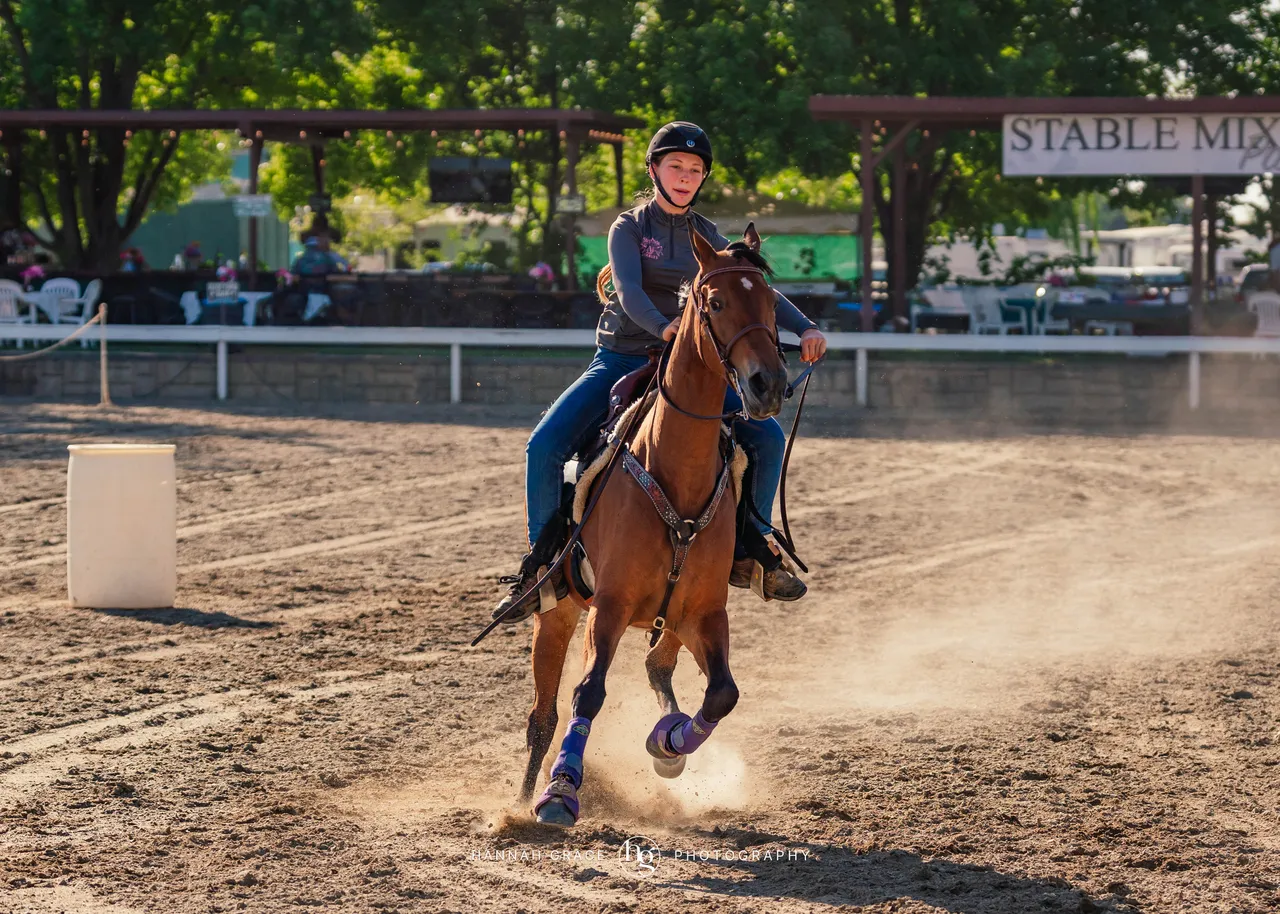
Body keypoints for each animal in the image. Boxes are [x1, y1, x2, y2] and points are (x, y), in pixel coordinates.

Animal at [518, 222, 790, 827]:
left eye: (772, 302)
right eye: (716, 302)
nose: (768, 385)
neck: (675, 473)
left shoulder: (707, 611)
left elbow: (723, 694)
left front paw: (668, 744)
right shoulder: (610, 607)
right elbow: (588, 692)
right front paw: (561, 792)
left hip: (675, 619)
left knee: (656, 666)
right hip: (559, 610)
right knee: (542, 716)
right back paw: (523, 800)